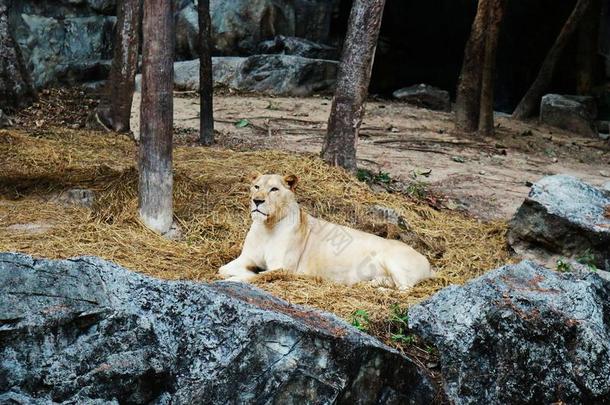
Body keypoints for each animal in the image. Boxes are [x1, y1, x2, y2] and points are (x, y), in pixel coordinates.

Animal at [218, 172, 432, 288]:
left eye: (274, 190)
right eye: (256, 186)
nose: (257, 201)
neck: (267, 226)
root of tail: (429, 265)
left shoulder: (285, 267)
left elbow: (257, 276)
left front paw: (238, 279)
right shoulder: (246, 258)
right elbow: (222, 269)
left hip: (393, 261)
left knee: (405, 289)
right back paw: (374, 284)